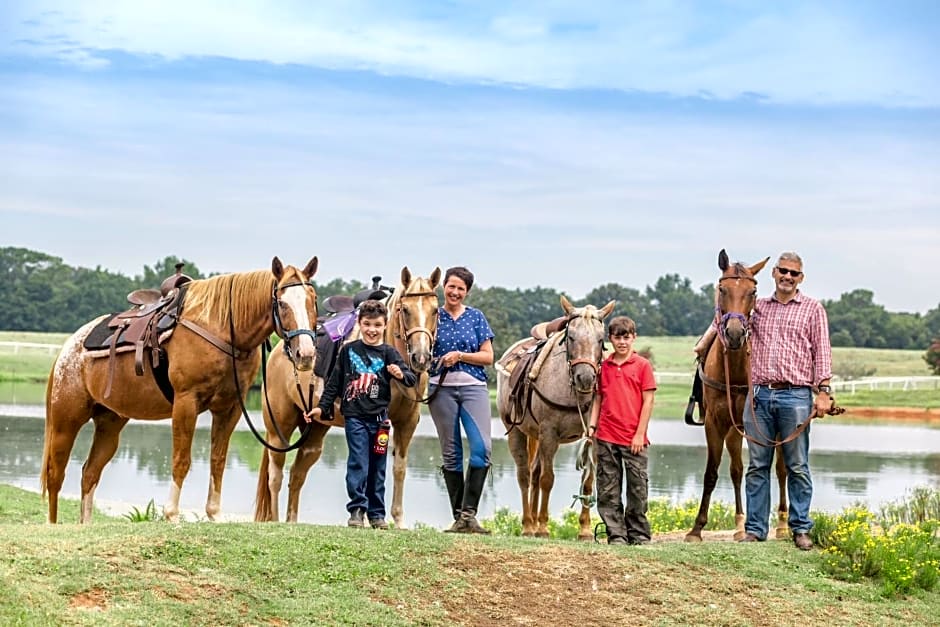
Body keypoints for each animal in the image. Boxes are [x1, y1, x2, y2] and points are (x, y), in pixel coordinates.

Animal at [41, 256, 320, 524]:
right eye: (282, 304)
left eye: (313, 300)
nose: (305, 354)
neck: (218, 329)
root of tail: (68, 348)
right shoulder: (186, 403)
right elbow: (181, 459)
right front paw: (172, 514)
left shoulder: (229, 408)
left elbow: (218, 460)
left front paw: (214, 515)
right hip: (66, 422)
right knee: (56, 473)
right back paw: (53, 525)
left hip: (110, 424)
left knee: (89, 473)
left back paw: (85, 524)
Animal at [250, 268, 440, 528]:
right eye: (405, 310)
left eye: (436, 310)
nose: (421, 358)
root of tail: (281, 351)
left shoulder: (407, 423)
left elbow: (399, 469)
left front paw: (398, 522)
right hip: (279, 429)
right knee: (275, 477)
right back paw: (278, 521)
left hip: (315, 433)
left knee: (297, 475)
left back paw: (292, 521)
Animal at [492, 296, 616, 536]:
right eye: (571, 337)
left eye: (600, 339)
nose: (585, 378)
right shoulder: (549, 433)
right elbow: (547, 479)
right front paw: (543, 526)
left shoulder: (593, 438)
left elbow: (588, 481)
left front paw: (585, 529)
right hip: (517, 433)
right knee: (525, 475)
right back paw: (528, 525)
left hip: (537, 436)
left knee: (534, 472)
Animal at [684, 250, 792, 544]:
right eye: (722, 289)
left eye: (752, 291)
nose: (734, 333)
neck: (733, 370)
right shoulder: (715, 422)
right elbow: (714, 472)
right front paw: (697, 529)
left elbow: (765, 470)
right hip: (734, 430)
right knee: (736, 469)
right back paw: (741, 523)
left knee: (781, 469)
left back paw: (783, 524)